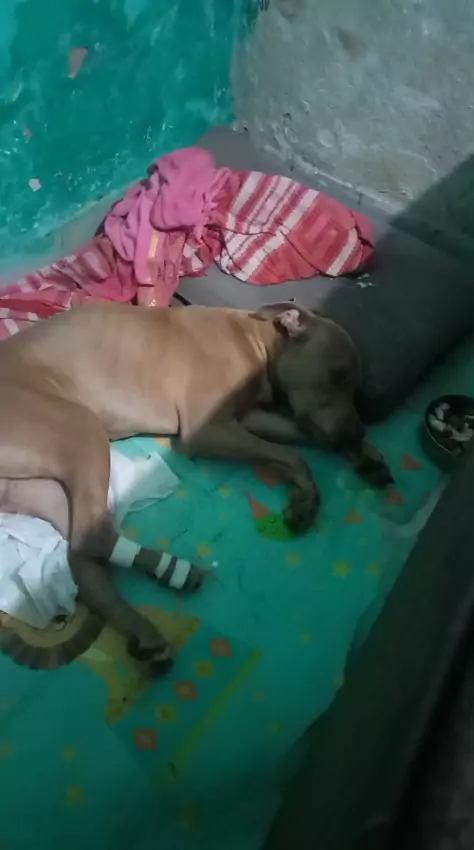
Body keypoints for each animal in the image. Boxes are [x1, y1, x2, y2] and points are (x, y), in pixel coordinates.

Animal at [0, 300, 392, 674]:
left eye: (355, 386)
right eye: (336, 375)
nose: (358, 429)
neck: (256, 339)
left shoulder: (248, 418)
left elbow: (303, 437)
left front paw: (367, 458)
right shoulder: (209, 430)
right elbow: (293, 454)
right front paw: (306, 498)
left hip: (46, 488)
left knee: (82, 556)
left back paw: (155, 608)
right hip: (81, 430)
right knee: (93, 539)